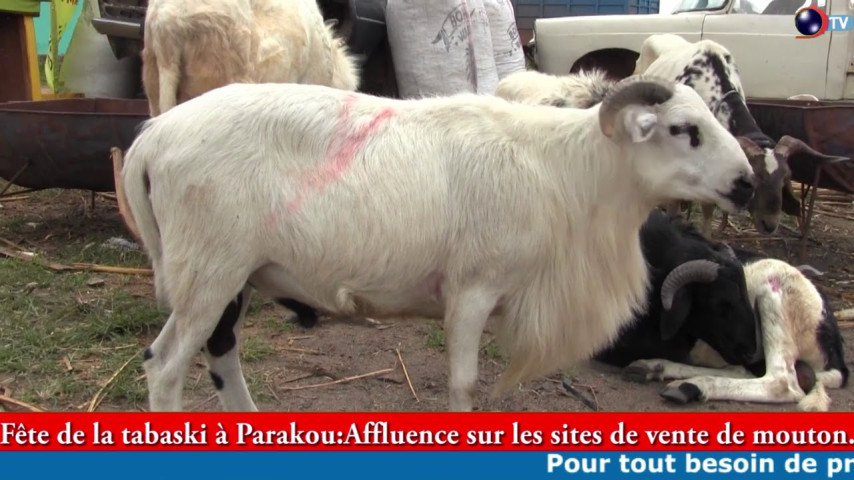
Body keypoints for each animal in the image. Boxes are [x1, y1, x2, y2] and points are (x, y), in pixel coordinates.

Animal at [121, 75, 756, 412]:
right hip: (208, 269)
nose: (747, 183)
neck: (566, 171)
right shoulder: (472, 289)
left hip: (235, 276)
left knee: (220, 352)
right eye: (682, 130)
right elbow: (463, 382)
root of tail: (150, 138)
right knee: (167, 365)